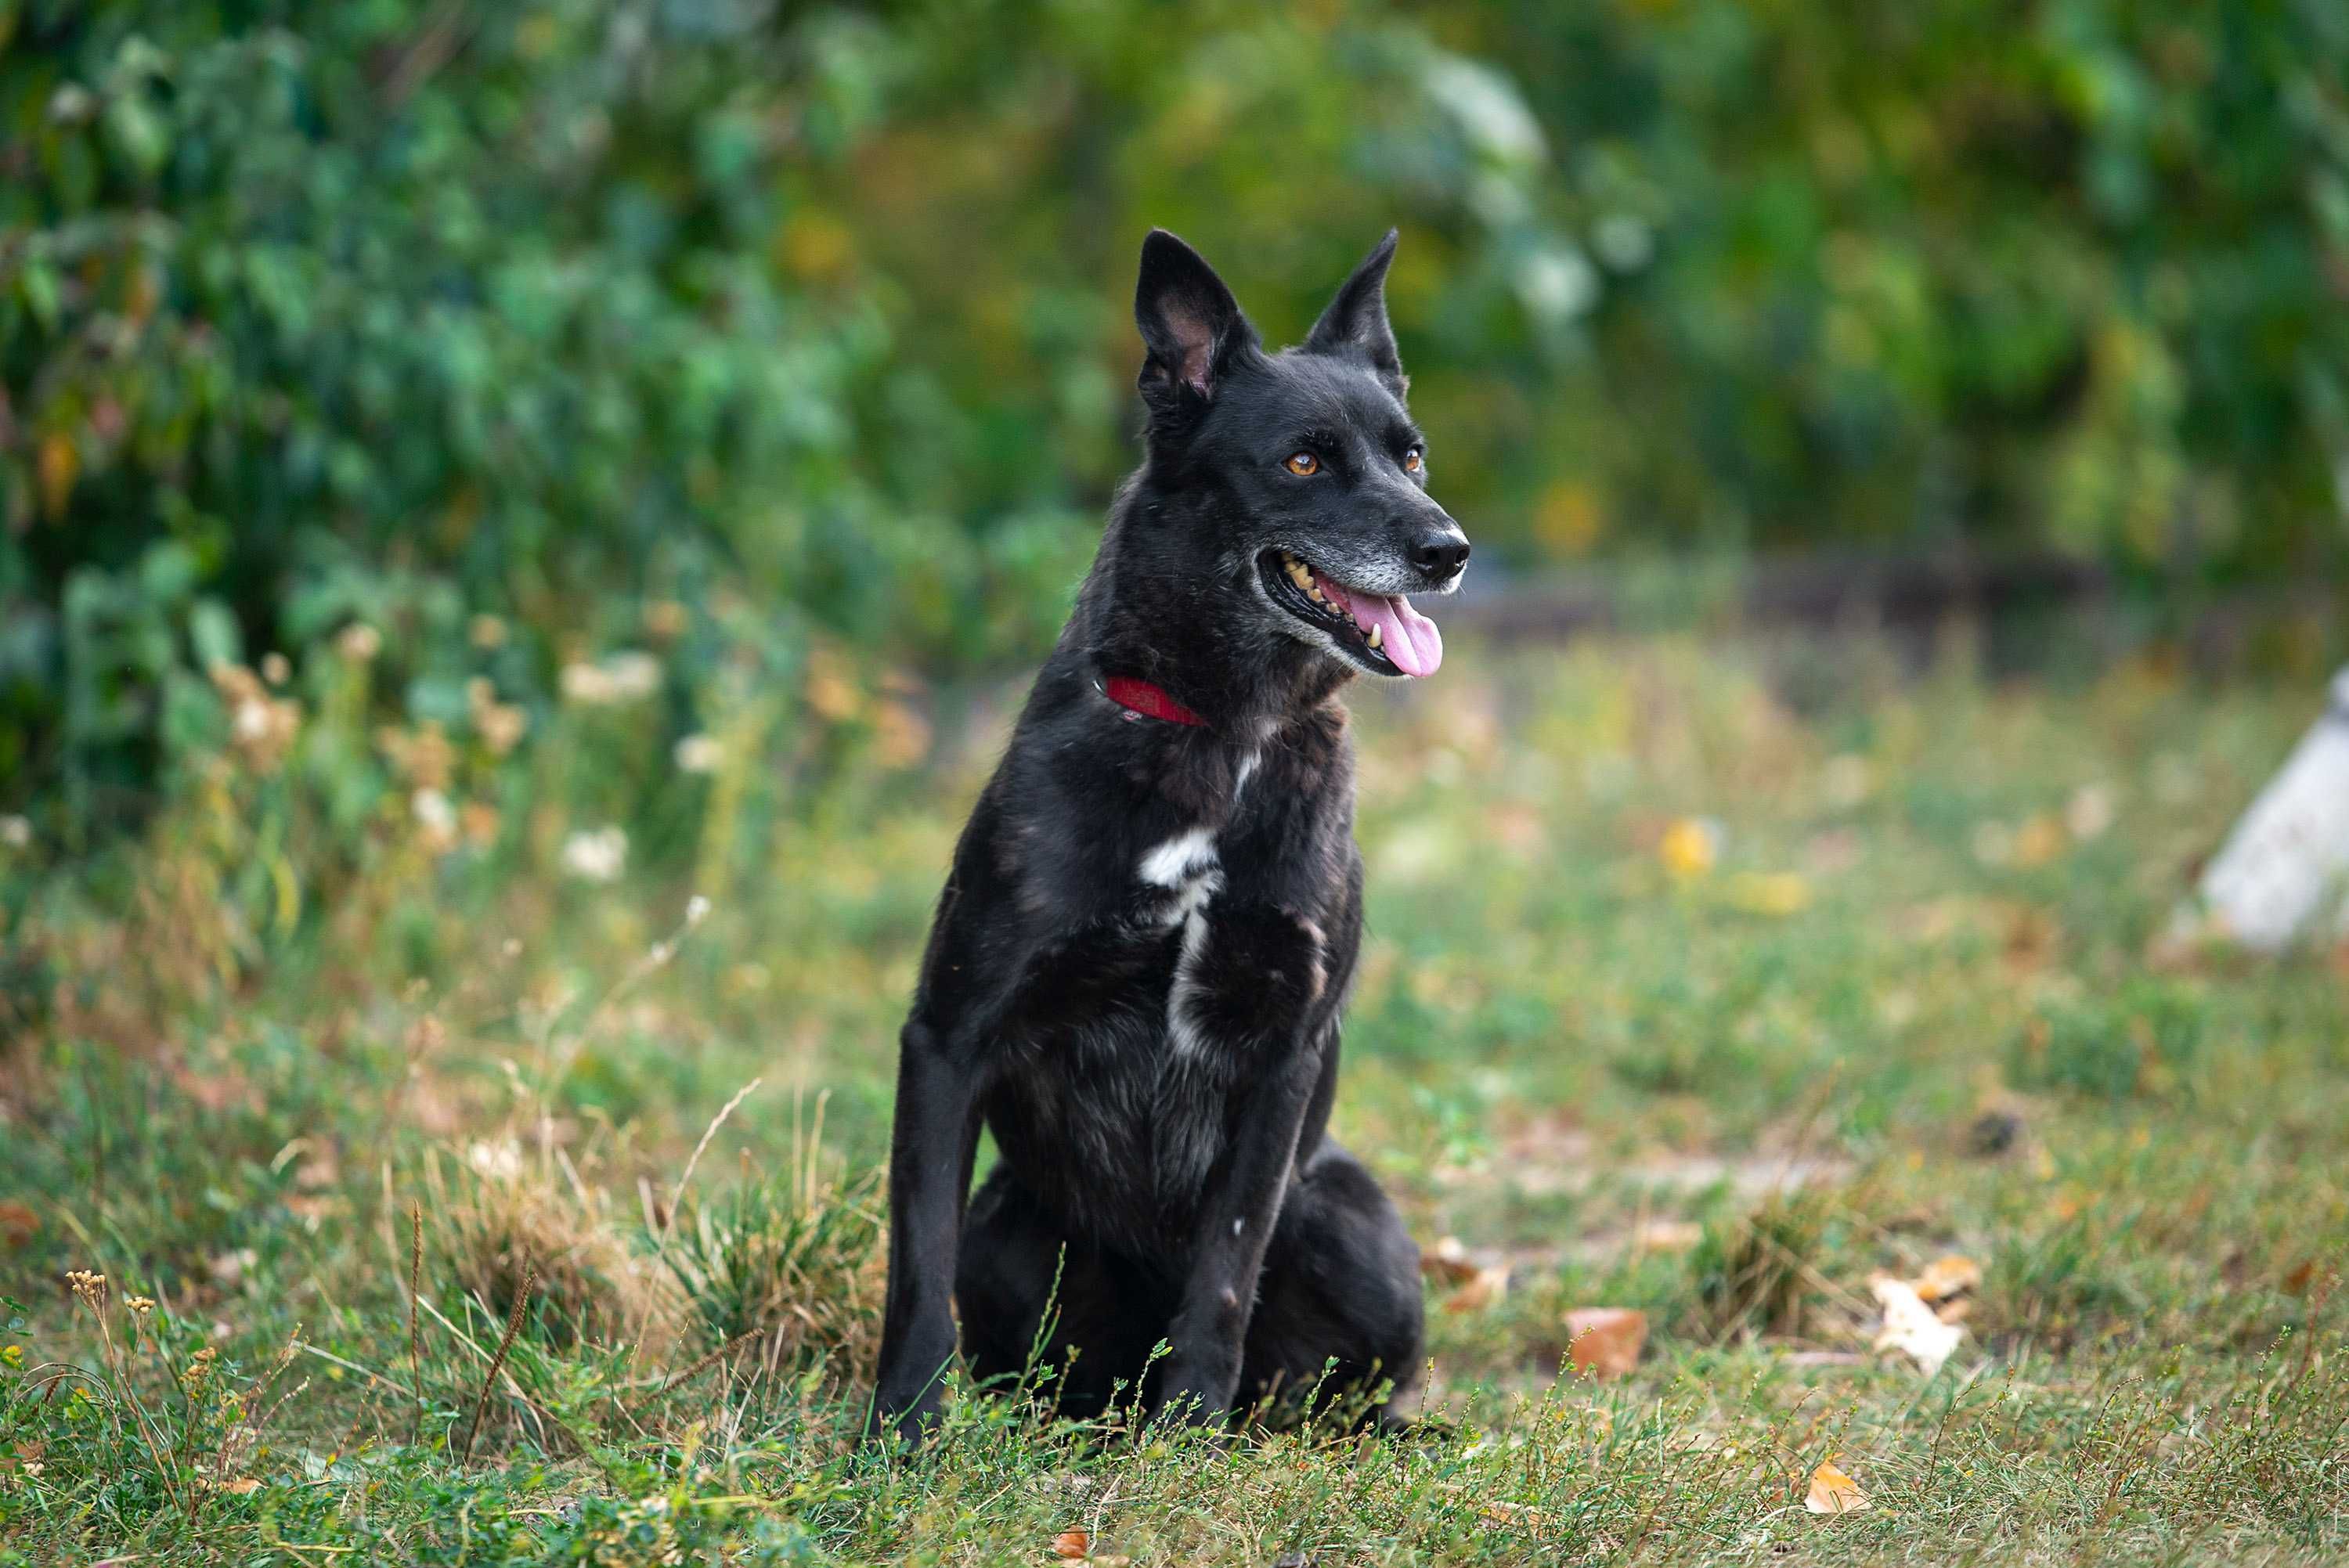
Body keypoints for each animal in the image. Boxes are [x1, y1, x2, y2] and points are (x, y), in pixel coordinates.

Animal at [874, 229, 1475, 1446]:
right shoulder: (949, 1034)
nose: (1450, 548)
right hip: (1012, 1222)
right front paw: (900, 1434)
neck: (1224, 738)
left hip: (1353, 1219)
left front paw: (1187, 1430)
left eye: (1412, 454)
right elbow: (917, 1264)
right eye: (1304, 462)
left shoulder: (1285, 1055)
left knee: (1328, 1383)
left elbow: (1225, 1270)